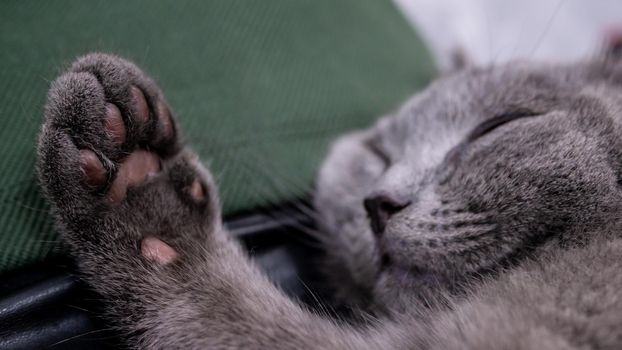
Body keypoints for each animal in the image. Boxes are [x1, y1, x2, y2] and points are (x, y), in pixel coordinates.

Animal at [37, 45, 622, 348]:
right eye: (378, 153)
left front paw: (142, 194)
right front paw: (131, 172)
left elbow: (225, 312)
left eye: (500, 126)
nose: (379, 202)